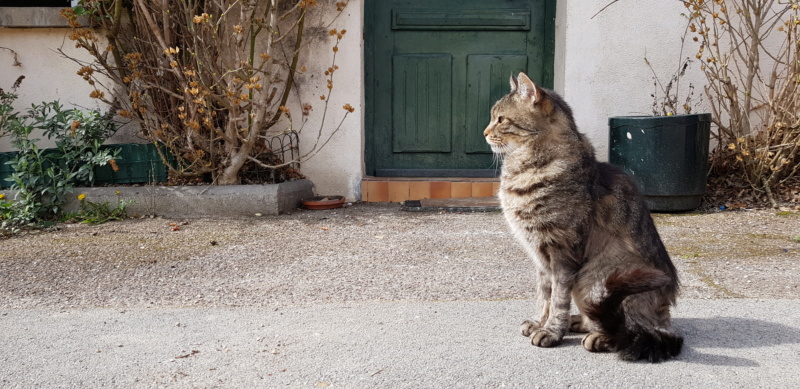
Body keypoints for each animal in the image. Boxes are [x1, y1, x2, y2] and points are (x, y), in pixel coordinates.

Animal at [484, 73, 684, 360]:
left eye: (500, 119)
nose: (485, 132)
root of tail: (666, 323)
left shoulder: (562, 252)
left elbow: (558, 298)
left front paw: (551, 331)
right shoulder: (541, 257)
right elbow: (544, 295)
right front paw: (540, 322)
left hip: (598, 279)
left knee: (628, 329)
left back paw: (599, 337)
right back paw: (580, 321)